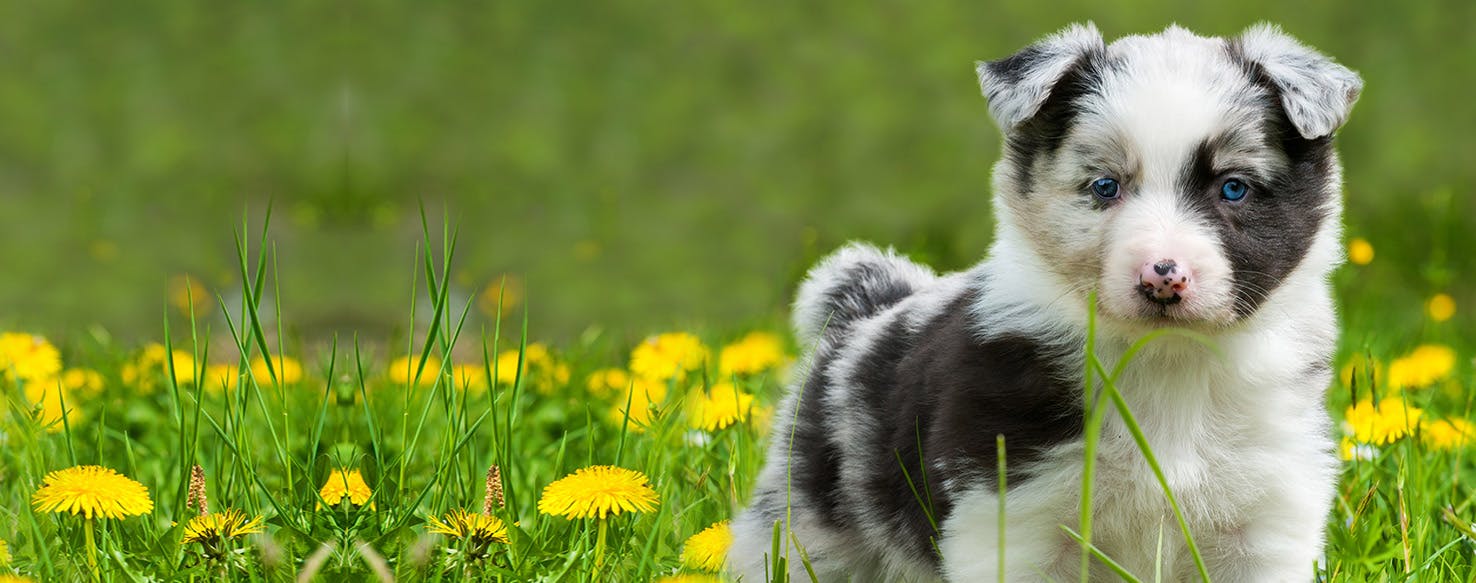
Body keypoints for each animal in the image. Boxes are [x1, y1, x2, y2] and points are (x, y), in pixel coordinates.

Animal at [732, 23, 1363, 583]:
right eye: (1105, 186)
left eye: (1233, 187)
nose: (1163, 278)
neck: (1165, 363)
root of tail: (869, 306)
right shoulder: (1012, 513)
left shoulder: (1267, 514)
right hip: (806, 525)